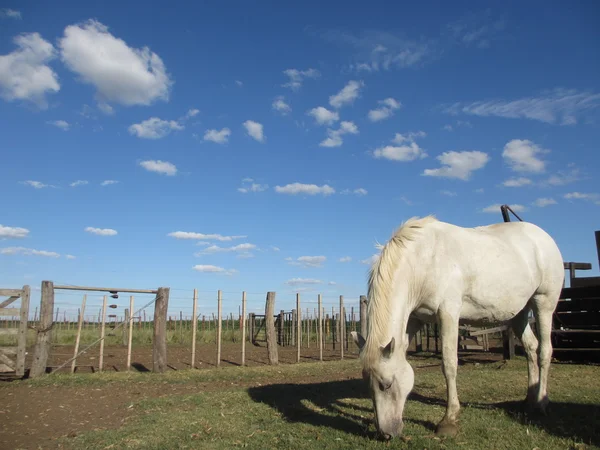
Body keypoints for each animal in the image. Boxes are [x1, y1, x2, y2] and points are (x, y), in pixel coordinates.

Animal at [350, 216, 564, 442]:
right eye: (368, 385)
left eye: (387, 384)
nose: (386, 434)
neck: (423, 259)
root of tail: (544, 237)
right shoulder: (415, 319)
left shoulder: (449, 313)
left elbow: (449, 364)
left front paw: (449, 421)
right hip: (518, 313)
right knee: (531, 347)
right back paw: (529, 400)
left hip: (544, 303)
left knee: (544, 351)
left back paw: (541, 402)